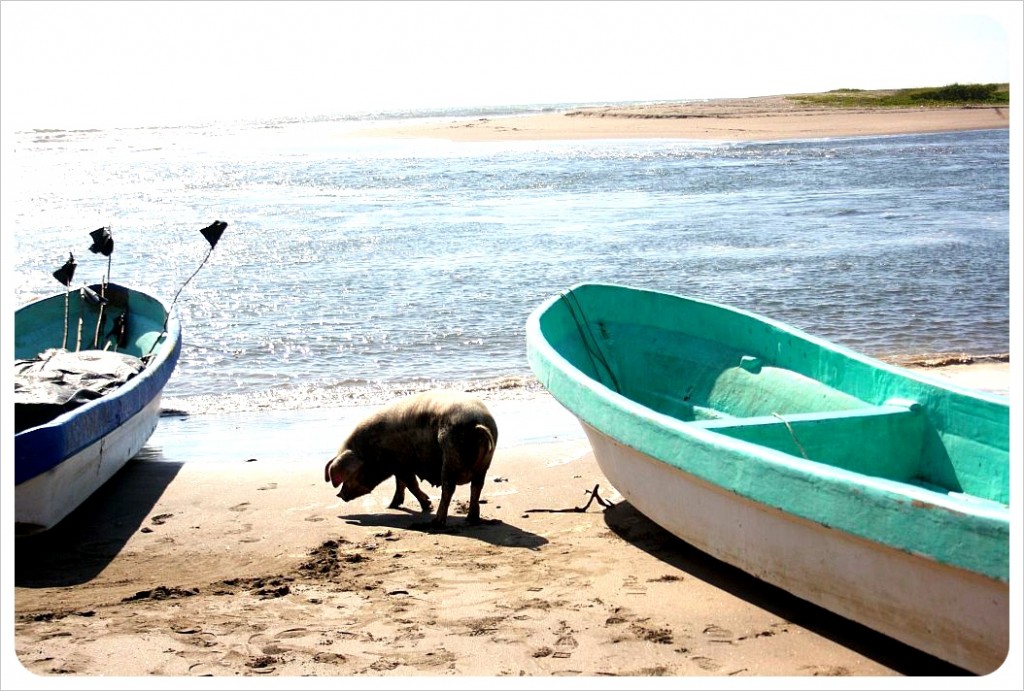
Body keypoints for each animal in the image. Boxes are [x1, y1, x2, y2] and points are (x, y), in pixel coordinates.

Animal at [324, 389, 498, 527]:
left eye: (350, 476)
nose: (340, 495)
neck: (370, 452)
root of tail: (478, 424)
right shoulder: (399, 466)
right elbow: (400, 484)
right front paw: (392, 506)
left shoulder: (402, 464)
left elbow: (410, 484)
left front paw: (427, 505)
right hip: (484, 465)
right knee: (476, 487)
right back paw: (471, 519)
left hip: (450, 455)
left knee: (448, 489)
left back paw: (436, 523)